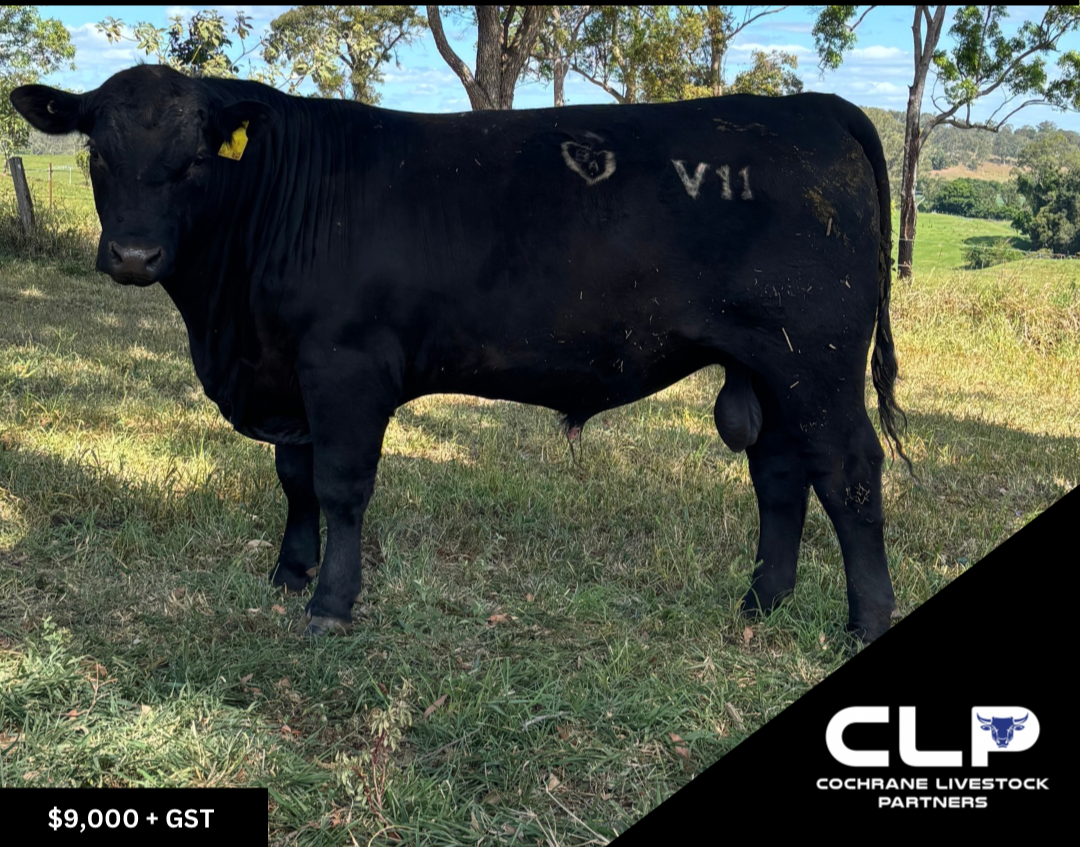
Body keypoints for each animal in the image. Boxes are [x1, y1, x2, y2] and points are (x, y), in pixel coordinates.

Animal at [11, 64, 910, 642]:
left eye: (195, 158)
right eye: (96, 152)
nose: (133, 256)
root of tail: (813, 105)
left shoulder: (345, 366)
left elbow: (341, 487)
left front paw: (330, 604)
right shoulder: (287, 373)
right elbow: (294, 479)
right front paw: (289, 572)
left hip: (818, 359)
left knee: (850, 474)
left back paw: (862, 623)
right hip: (769, 363)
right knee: (781, 474)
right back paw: (761, 602)